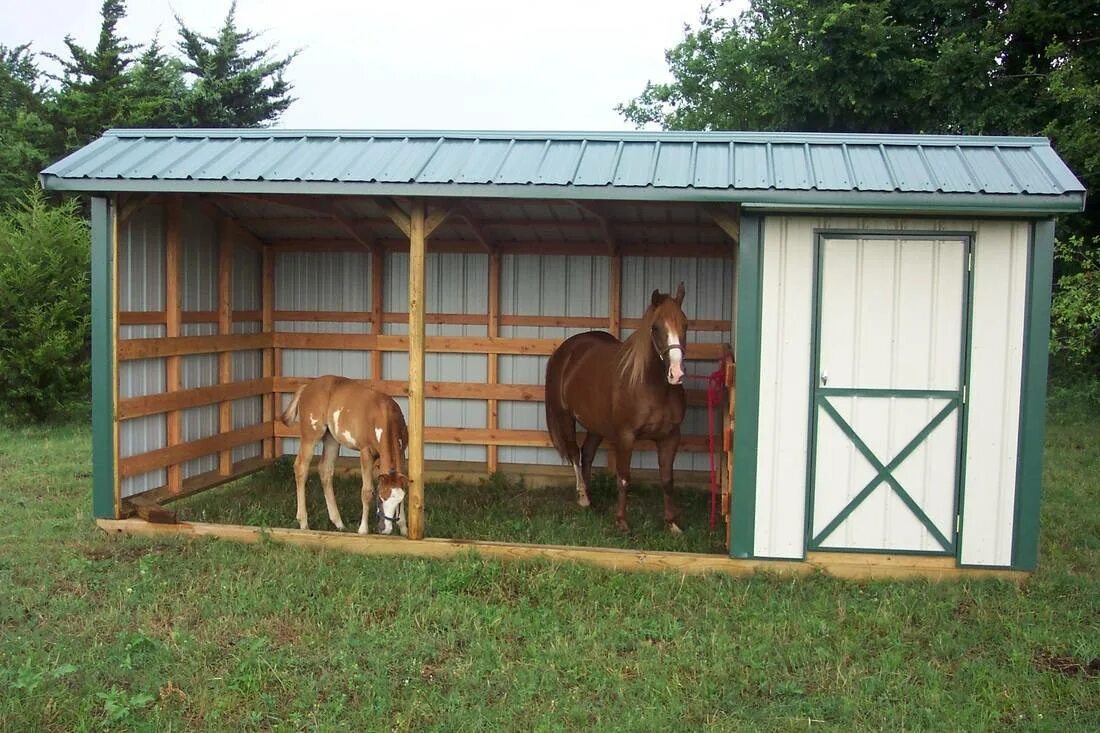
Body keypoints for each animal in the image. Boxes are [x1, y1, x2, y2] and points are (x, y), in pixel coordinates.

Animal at [279, 374, 409, 534]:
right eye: (380, 498)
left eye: (398, 501)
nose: (386, 529)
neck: (384, 415)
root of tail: (307, 387)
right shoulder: (366, 453)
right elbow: (366, 492)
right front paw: (363, 530)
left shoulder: (402, 453)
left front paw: (404, 529)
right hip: (311, 436)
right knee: (301, 467)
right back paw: (304, 523)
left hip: (331, 439)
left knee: (325, 470)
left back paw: (338, 523)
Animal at [543, 280, 686, 530]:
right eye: (656, 328)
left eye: (685, 325)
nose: (676, 374)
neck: (653, 387)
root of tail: (565, 350)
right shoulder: (626, 437)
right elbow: (624, 478)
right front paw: (621, 521)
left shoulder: (670, 437)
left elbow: (668, 480)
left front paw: (672, 523)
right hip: (565, 417)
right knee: (574, 453)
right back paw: (583, 497)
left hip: (595, 423)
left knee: (587, 453)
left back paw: (591, 500)